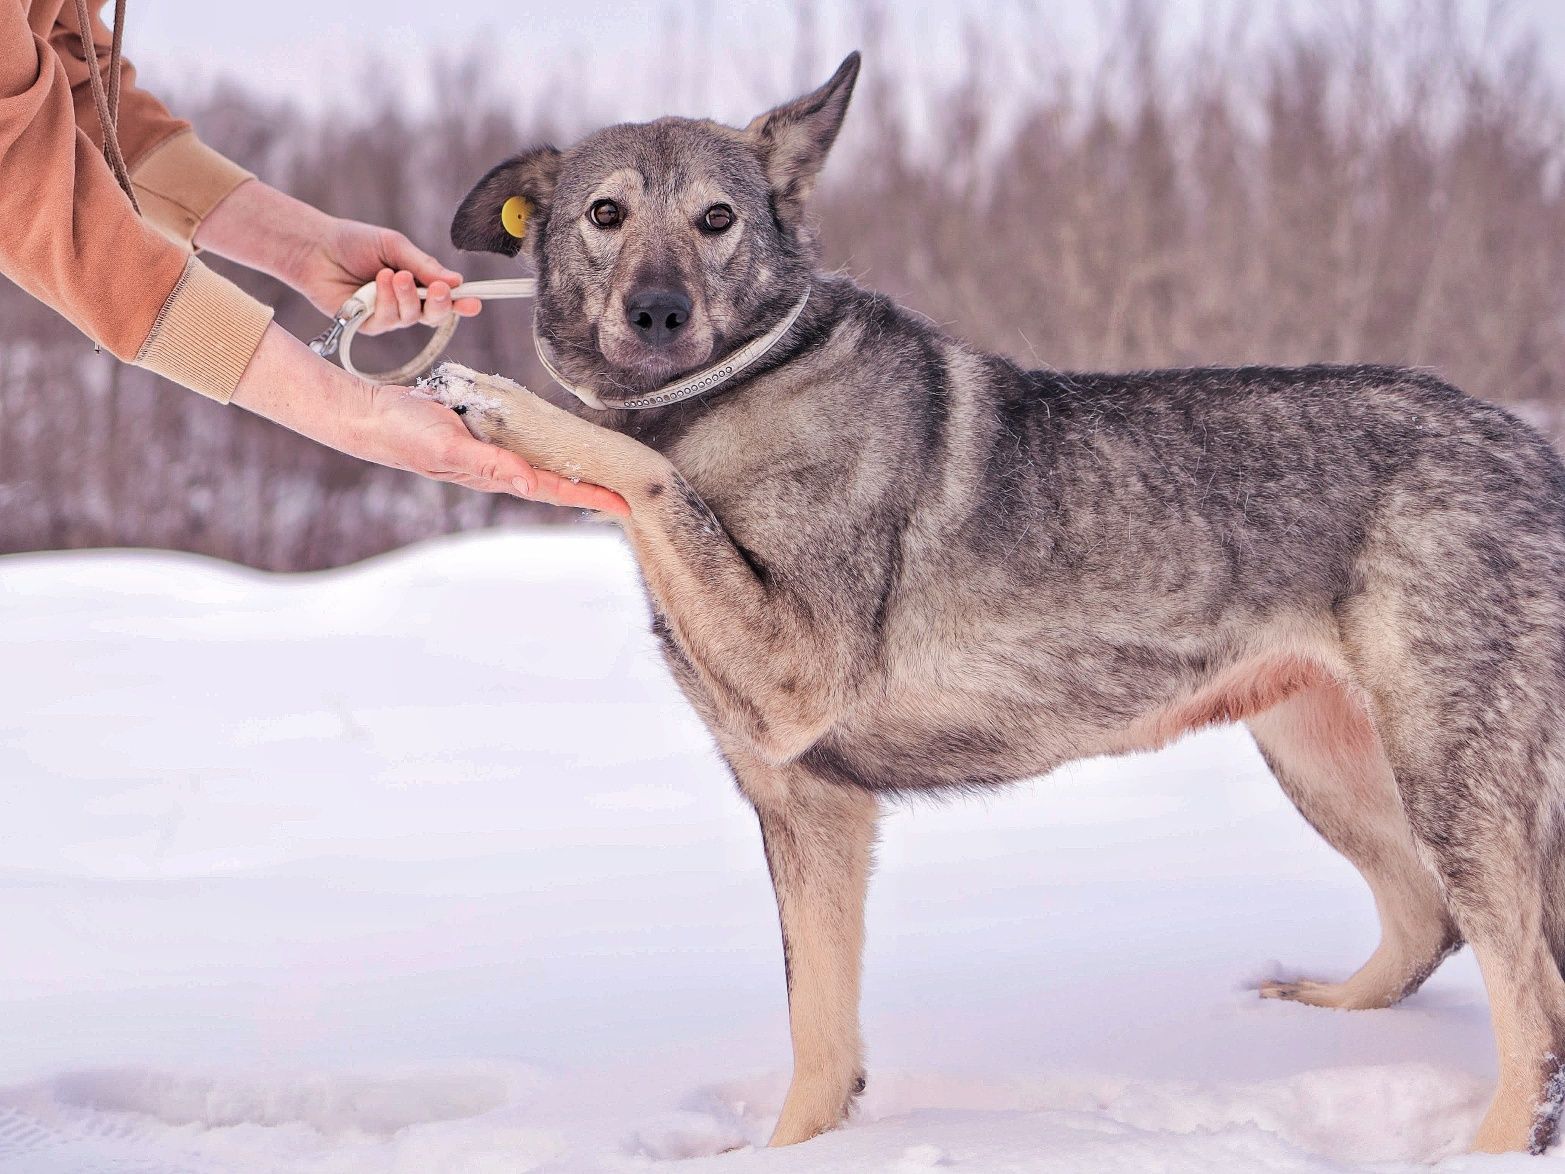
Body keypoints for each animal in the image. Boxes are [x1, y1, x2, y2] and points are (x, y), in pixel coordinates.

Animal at [428, 50, 1565, 1152]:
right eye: (604, 213)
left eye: (716, 219)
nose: (658, 313)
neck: (734, 386)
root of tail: (1529, 451)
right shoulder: (805, 804)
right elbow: (818, 1040)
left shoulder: (793, 677)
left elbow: (643, 472)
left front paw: (498, 403)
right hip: (1323, 757)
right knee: (1427, 925)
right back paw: (1315, 1013)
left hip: (1443, 778)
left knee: (1532, 1002)